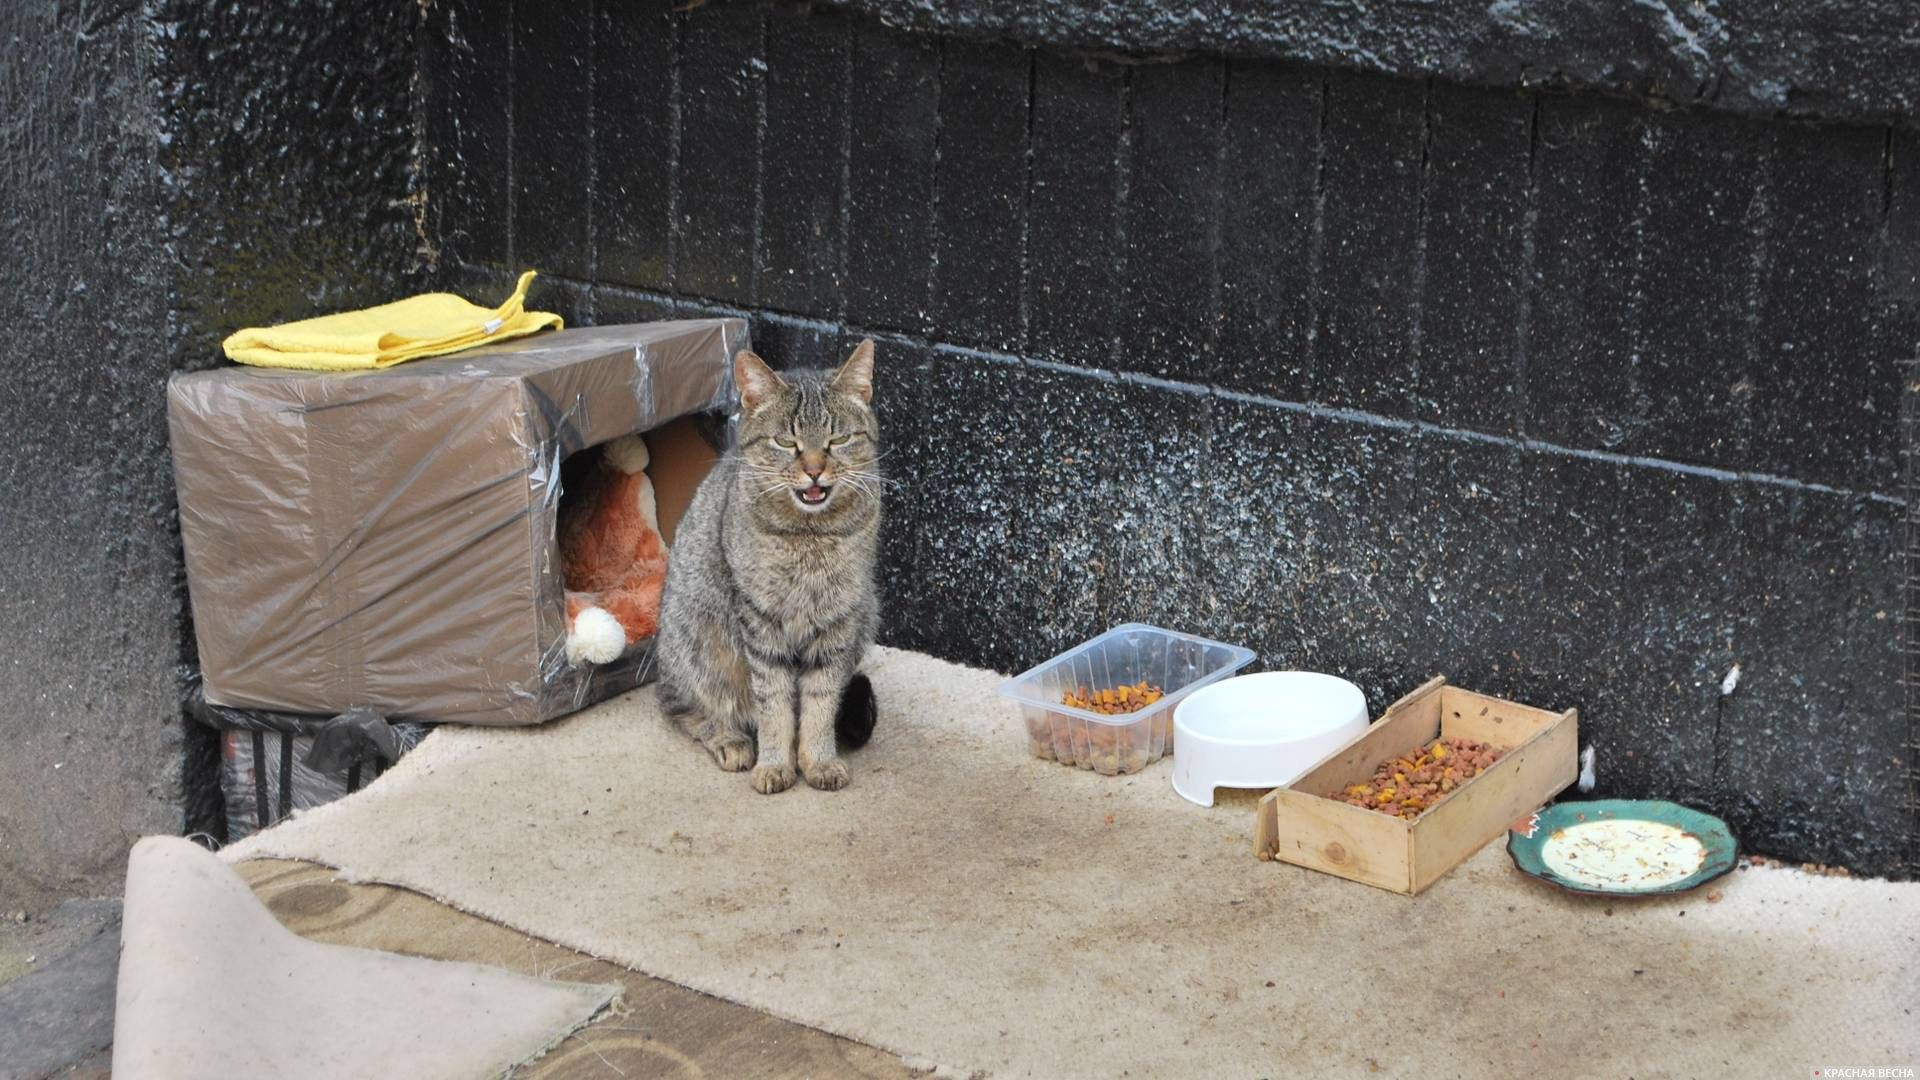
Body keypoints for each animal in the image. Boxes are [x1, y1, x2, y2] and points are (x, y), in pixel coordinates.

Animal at [648, 336, 879, 791]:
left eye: (838, 439)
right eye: (786, 442)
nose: (814, 470)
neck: (812, 536)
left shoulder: (841, 616)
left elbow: (822, 698)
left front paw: (818, 759)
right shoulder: (759, 617)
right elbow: (772, 702)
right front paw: (774, 763)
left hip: (869, 612)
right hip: (698, 641)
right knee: (679, 704)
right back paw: (729, 739)